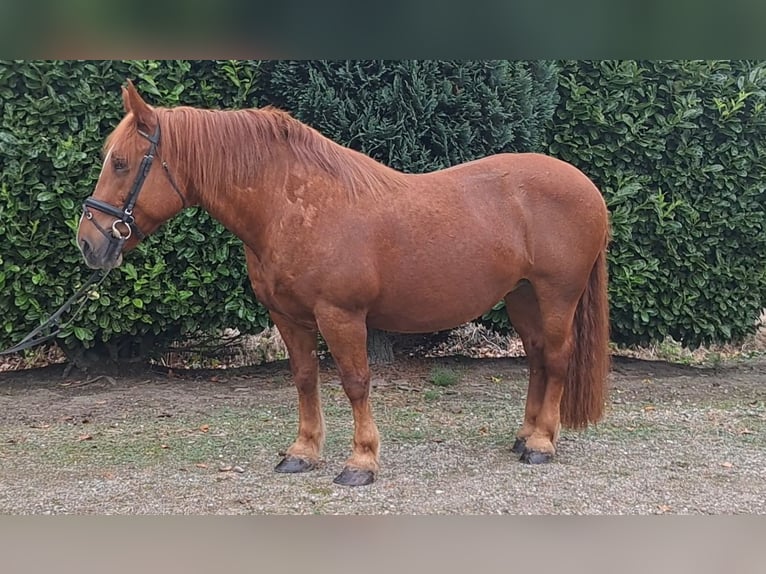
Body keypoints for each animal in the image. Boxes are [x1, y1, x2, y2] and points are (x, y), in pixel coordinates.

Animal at [78, 80, 612, 486]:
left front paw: (361, 462)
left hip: (556, 294)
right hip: (522, 296)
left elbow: (355, 382)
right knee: (537, 358)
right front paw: (302, 452)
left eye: (121, 163)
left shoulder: (341, 316)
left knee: (557, 358)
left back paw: (541, 443)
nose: (88, 242)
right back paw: (525, 436)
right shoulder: (288, 317)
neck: (294, 205)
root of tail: (586, 187)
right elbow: (304, 378)